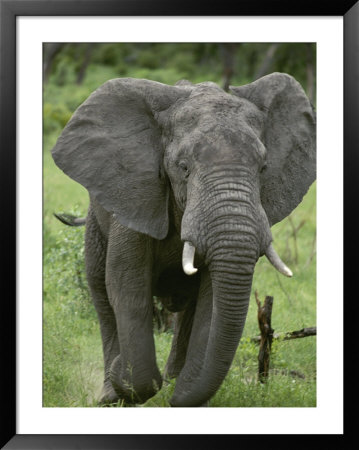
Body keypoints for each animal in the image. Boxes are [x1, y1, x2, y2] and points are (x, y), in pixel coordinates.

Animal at [52, 72, 316, 406]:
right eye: (184, 167)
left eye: (264, 168)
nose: (177, 399)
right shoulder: (136, 195)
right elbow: (127, 285)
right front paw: (127, 381)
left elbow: (211, 299)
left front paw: (180, 395)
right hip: (98, 222)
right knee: (100, 291)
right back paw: (112, 394)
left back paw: (171, 381)